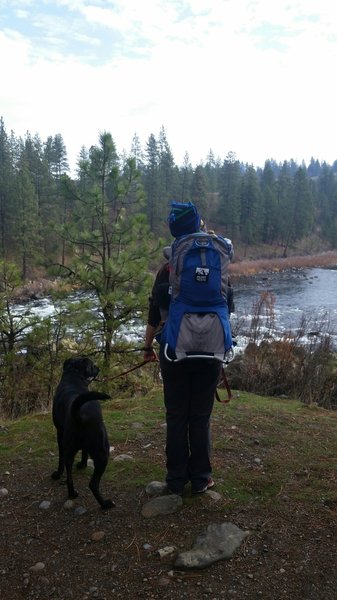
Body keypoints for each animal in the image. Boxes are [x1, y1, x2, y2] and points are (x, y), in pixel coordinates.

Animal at [50, 356, 113, 510]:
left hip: (68, 446)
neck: (73, 376)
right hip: (103, 451)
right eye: (92, 365)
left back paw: (72, 493)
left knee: (68, 468)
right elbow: (84, 452)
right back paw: (105, 504)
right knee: (93, 484)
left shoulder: (59, 433)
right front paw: (83, 464)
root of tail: (78, 413)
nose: (98, 367)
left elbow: (64, 457)